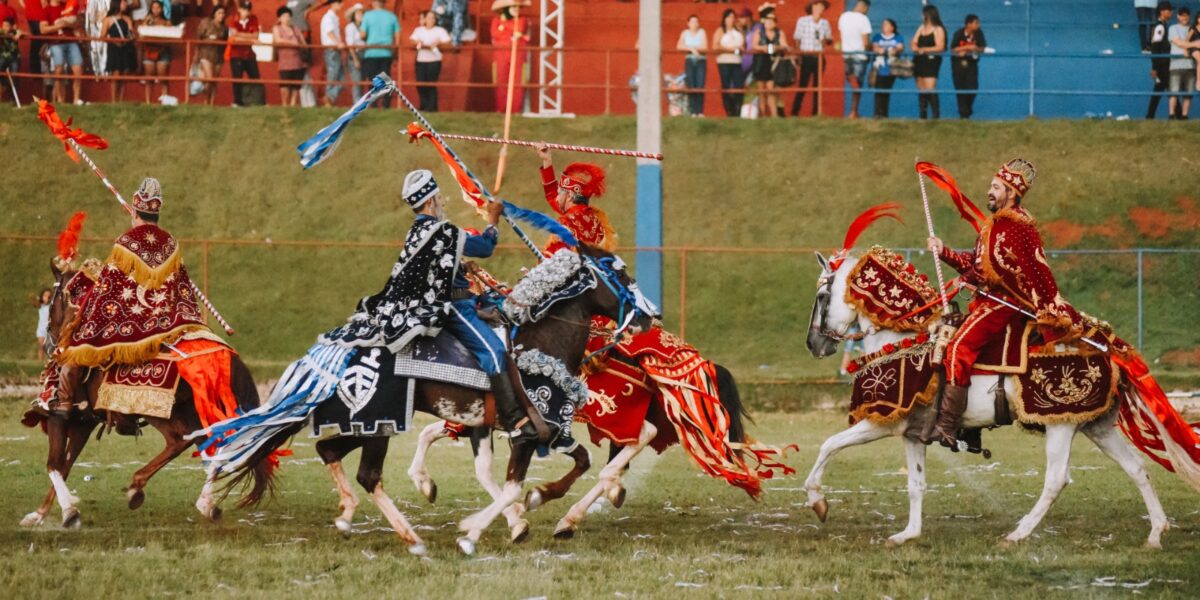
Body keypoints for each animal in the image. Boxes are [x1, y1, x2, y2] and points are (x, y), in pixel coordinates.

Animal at [20, 262, 274, 530]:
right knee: (203, 445)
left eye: (53, 299)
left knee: (183, 441)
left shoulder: (58, 416)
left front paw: (64, 512)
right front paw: (42, 513)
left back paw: (145, 489)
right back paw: (196, 501)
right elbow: (65, 465)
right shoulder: (83, 422)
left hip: (160, 409)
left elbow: (54, 464)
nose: (49, 340)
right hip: (189, 411)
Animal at [208, 246, 657, 554]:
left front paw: (533, 506)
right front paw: (479, 529)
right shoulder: (532, 432)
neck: (541, 344)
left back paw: (349, 515)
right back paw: (410, 537)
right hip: (380, 423)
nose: (650, 314)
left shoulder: (503, 426)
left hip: (369, 423)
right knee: (366, 473)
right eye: (619, 271)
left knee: (327, 449)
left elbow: (553, 469)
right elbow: (515, 485)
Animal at [408, 355, 753, 540]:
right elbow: (428, 433)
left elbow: (484, 471)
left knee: (642, 436)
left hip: (611, 414)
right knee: (621, 457)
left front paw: (515, 517)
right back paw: (588, 503)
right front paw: (425, 483)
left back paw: (569, 507)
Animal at [801, 248, 1195, 549]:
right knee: (1137, 469)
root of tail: (1109, 348)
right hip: (1096, 426)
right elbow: (916, 484)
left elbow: (828, 445)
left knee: (1057, 479)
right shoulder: (913, 434)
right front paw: (908, 534)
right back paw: (1155, 533)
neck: (901, 340)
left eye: (821, 297)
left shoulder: (881, 421)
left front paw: (817, 501)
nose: (814, 345)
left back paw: (1018, 533)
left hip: (1061, 425)